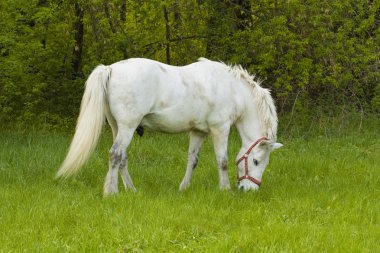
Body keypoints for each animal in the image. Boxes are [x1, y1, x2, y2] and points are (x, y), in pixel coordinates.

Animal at [56, 57, 282, 196]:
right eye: (255, 161)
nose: (249, 190)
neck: (233, 90)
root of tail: (111, 68)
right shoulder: (220, 129)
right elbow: (223, 161)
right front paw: (225, 189)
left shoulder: (198, 132)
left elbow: (192, 161)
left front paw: (184, 188)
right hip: (127, 127)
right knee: (114, 155)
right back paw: (112, 192)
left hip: (116, 127)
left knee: (122, 158)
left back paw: (131, 190)